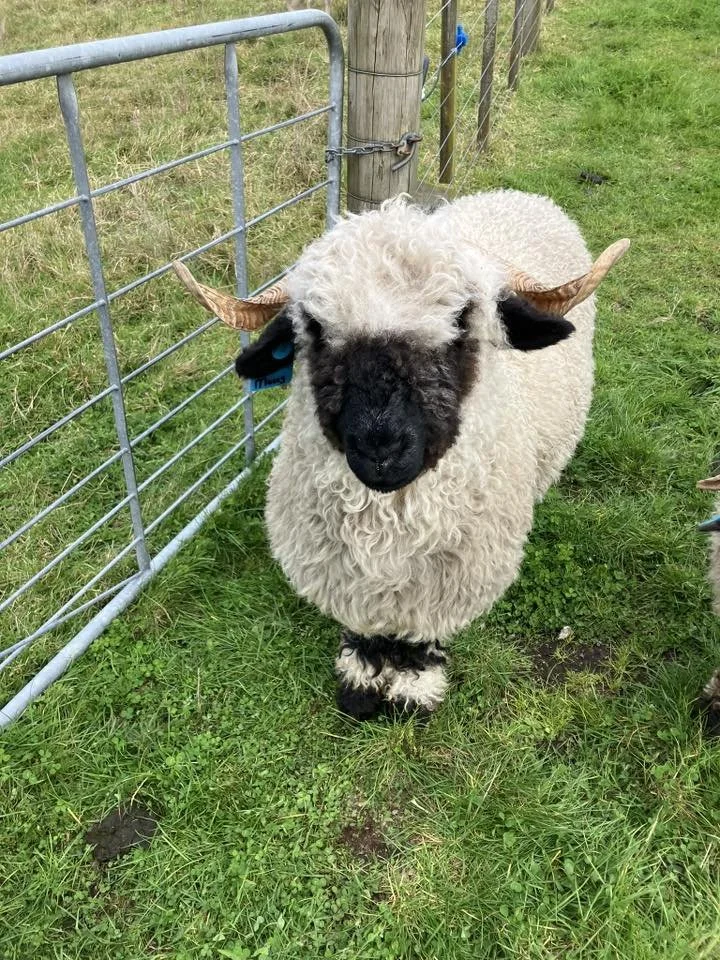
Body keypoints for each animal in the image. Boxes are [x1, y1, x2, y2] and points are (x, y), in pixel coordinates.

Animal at [174, 190, 629, 720]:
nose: (381, 448)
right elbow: (365, 628)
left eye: (462, 318)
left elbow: (420, 634)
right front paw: (361, 682)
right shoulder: (341, 573)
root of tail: (514, 196)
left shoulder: (448, 582)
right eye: (315, 327)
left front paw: (413, 687)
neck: (387, 530)